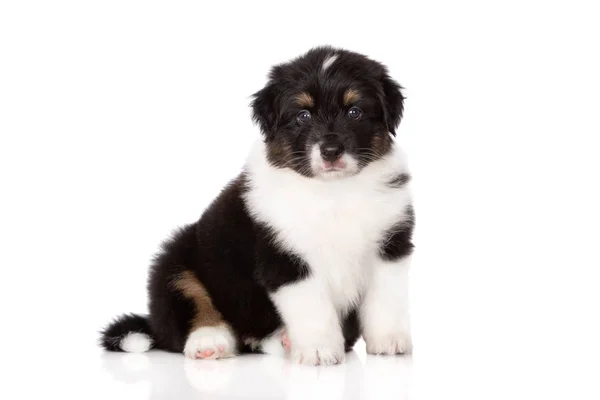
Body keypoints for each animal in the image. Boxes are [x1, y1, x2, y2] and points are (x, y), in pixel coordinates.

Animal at [101, 47, 414, 366]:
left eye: (354, 111)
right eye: (303, 115)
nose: (330, 152)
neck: (334, 191)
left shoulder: (390, 246)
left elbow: (385, 299)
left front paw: (389, 341)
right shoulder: (284, 257)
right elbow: (312, 306)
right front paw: (318, 349)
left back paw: (283, 340)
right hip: (176, 258)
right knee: (192, 308)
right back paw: (209, 343)